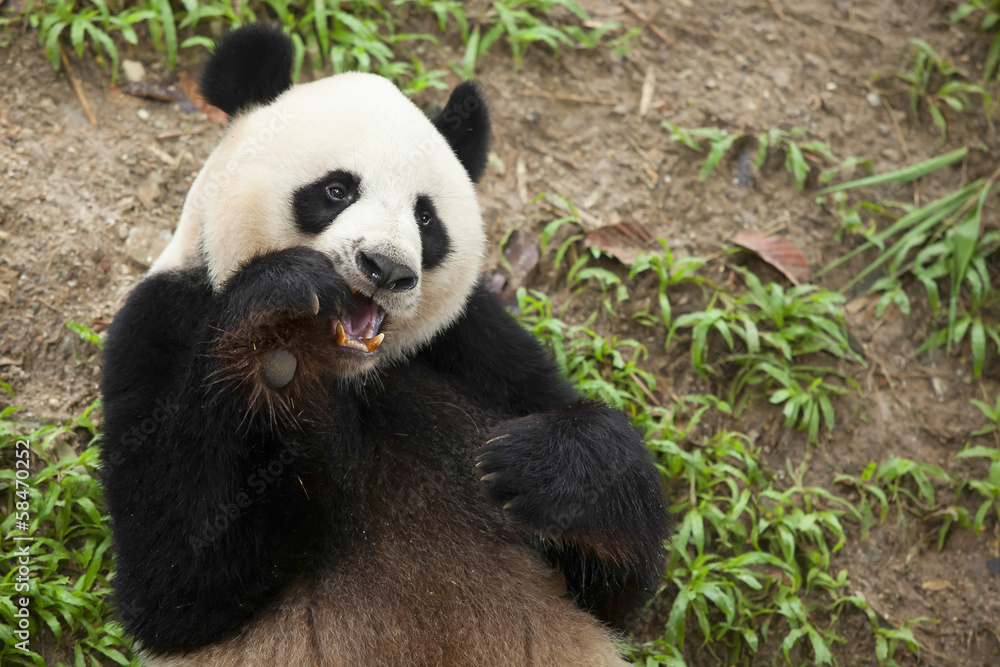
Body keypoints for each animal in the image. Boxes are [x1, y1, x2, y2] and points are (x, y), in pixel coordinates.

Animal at [99, 24, 669, 667]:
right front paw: (276, 332)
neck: (350, 371)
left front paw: (542, 466)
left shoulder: (475, 344)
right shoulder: (161, 324)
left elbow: (617, 587)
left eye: (425, 219)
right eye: (336, 190)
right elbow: (178, 577)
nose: (387, 268)